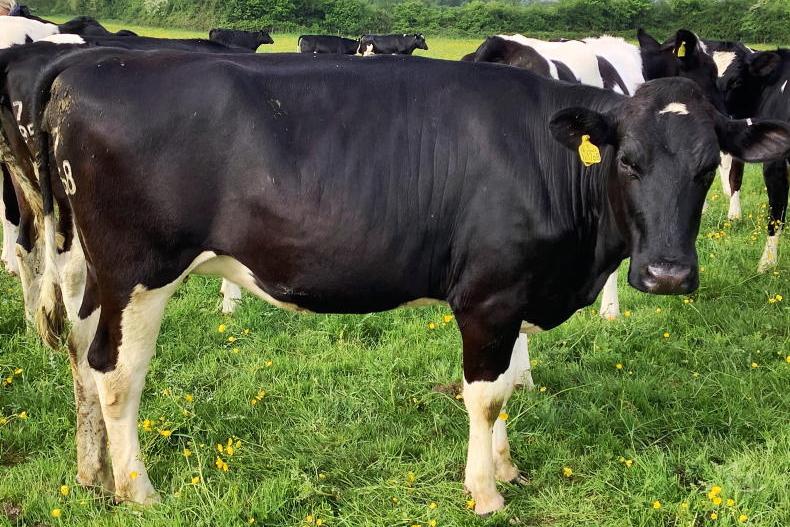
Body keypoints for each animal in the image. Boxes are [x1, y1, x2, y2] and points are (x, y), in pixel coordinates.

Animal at [31, 52, 790, 513]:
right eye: (627, 160)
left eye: (709, 164)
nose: (667, 273)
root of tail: (89, 62)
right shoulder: (486, 296)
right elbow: (485, 395)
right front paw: (486, 493)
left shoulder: (513, 288)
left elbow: (506, 384)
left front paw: (507, 467)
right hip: (139, 270)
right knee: (116, 373)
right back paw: (137, 489)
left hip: (97, 274)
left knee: (80, 354)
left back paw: (92, 473)